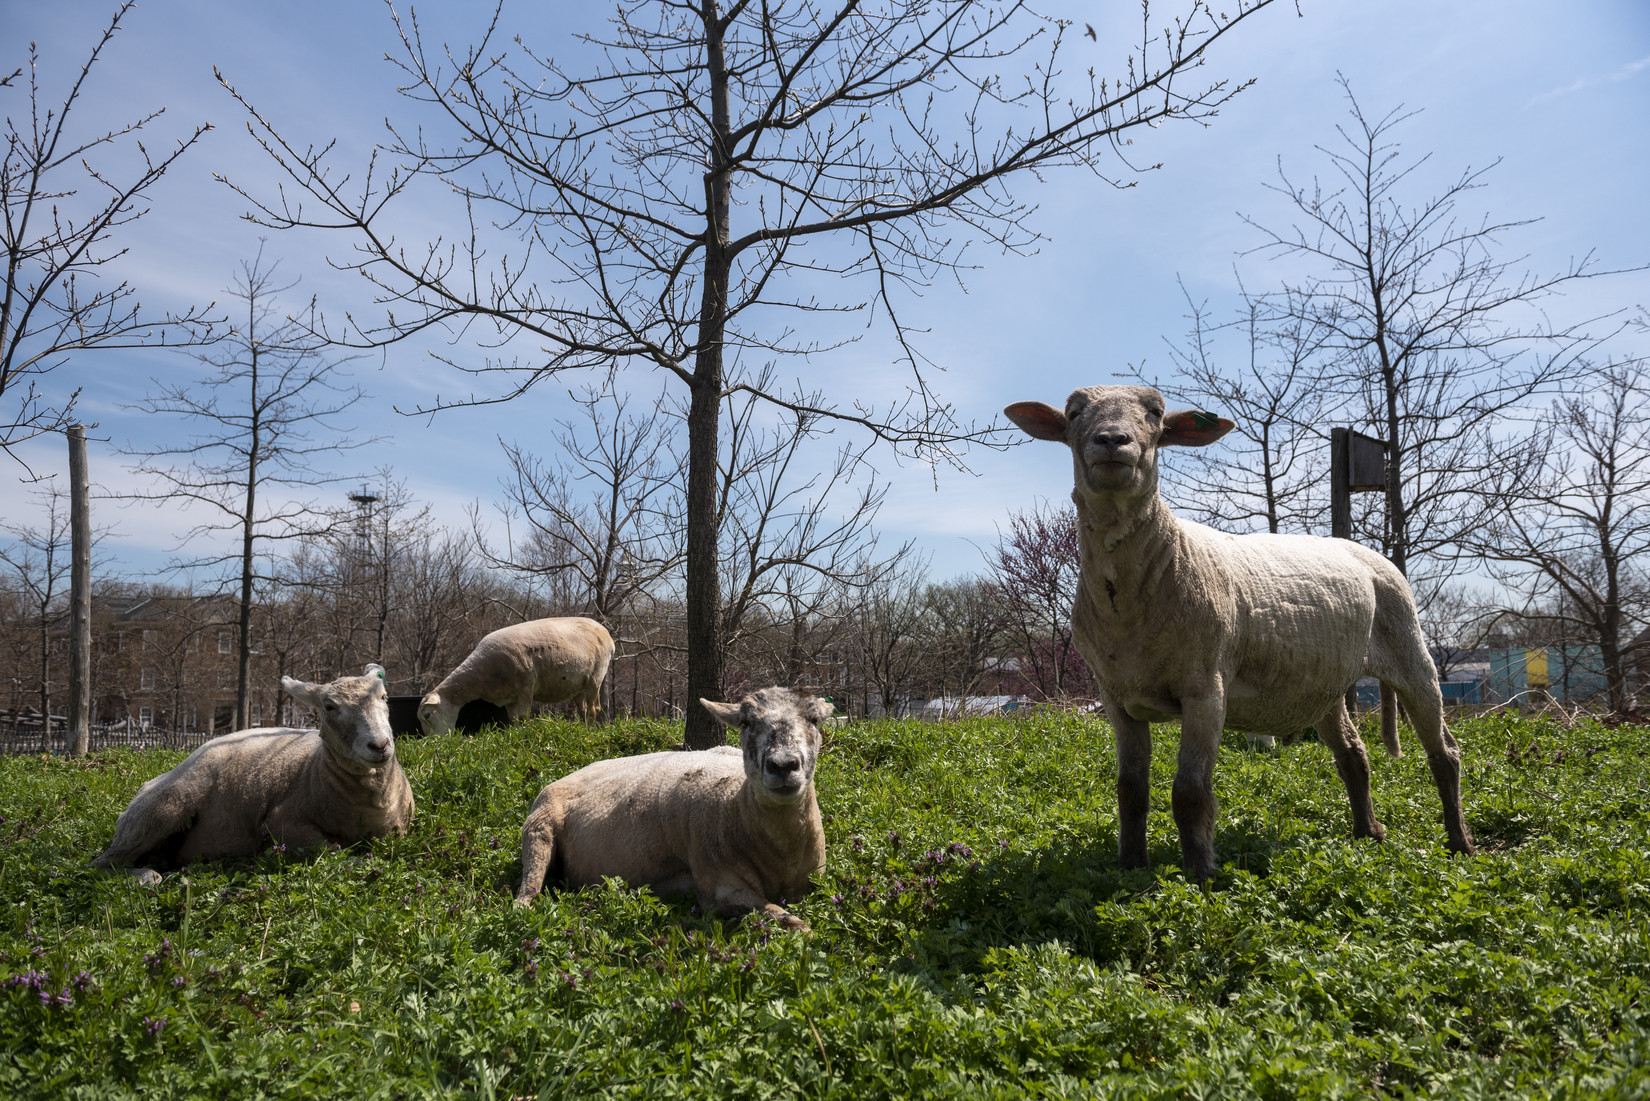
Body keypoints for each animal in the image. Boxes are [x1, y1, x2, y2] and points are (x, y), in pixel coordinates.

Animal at [93, 663, 415, 884]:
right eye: (329, 706)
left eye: (384, 697)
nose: (379, 745)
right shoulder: (282, 822)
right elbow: (329, 850)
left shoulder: (399, 828)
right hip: (162, 808)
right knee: (102, 864)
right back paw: (146, 876)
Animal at [419, 617, 613, 736]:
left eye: (427, 715)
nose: (433, 742)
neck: (481, 676)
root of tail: (606, 634)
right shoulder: (509, 696)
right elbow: (513, 719)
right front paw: (516, 735)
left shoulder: (525, 685)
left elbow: (522, 716)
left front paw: (525, 735)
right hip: (578, 684)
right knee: (583, 709)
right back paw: (582, 729)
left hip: (596, 676)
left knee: (594, 708)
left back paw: (589, 731)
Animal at [511, 689, 831, 930]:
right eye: (745, 722)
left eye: (814, 719)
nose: (783, 766)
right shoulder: (719, 885)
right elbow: (794, 923)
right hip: (539, 827)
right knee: (529, 888)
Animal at [1003, 387, 1485, 878]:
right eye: (1074, 412)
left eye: (1155, 413)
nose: (1112, 440)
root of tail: (1364, 551)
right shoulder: (1118, 698)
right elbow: (1130, 790)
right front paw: (1131, 868)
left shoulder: (1205, 690)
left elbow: (1190, 792)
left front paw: (1201, 877)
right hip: (1322, 684)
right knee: (1354, 755)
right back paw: (1367, 832)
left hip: (1409, 648)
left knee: (1445, 754)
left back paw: (1459, 842)